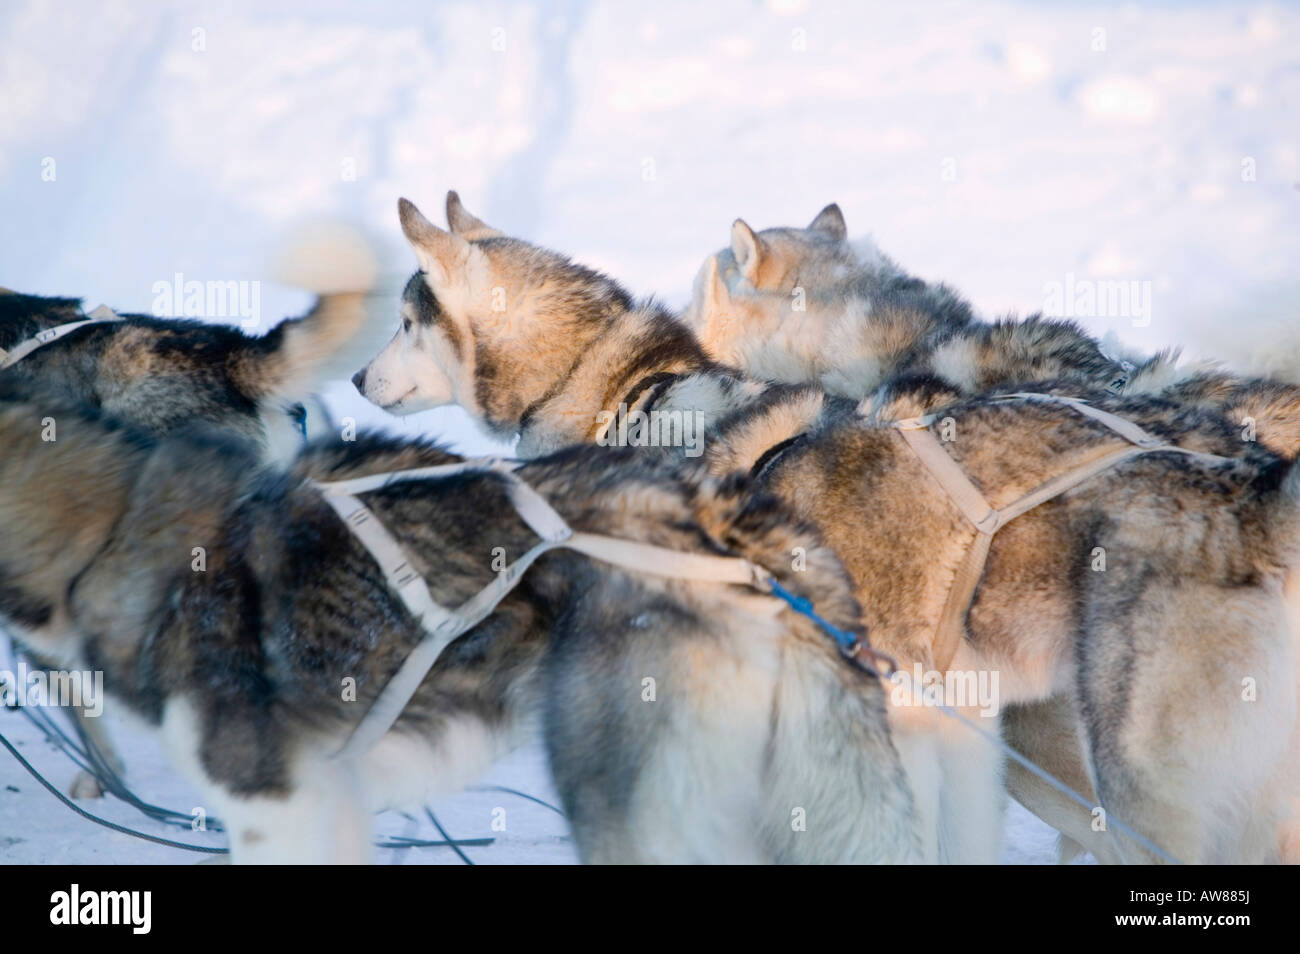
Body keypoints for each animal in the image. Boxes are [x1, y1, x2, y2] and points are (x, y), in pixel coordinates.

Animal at [353, 196, 1300, 868]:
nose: (357, 380)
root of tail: (1248, 480)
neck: (626, 394)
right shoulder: (947, 726)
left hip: (1136, 786)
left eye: (403, 324)